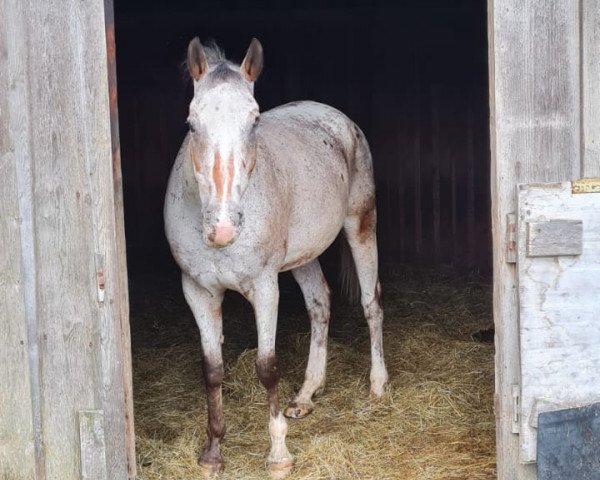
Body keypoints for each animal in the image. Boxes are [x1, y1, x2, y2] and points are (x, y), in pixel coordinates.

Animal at [164, 36, 390, 476]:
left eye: (254, 121)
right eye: (191, 123)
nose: (223, 228)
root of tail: (336, 118)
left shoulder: (266, 288)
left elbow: (266, 367)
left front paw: (279, 455)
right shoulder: (198, 291)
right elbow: (212, 370)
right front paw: (212, 453)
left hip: (361, 224)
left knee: (371, 303)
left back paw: (377, 387)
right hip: (304, 256)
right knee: (320, 304)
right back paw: (305, 395)